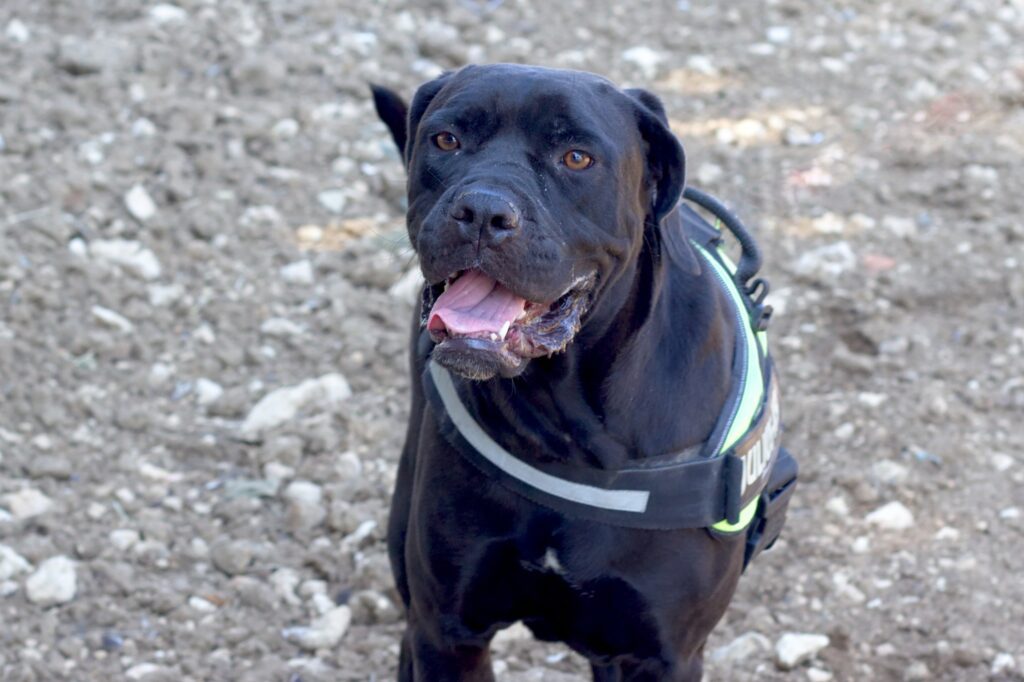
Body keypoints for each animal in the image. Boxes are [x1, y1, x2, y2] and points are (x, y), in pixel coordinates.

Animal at [370, 62, 790, 675]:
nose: (482, 212)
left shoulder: (661, 654)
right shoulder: (449, 633)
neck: (567, 426)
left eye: (576, 157)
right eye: (446, 140)